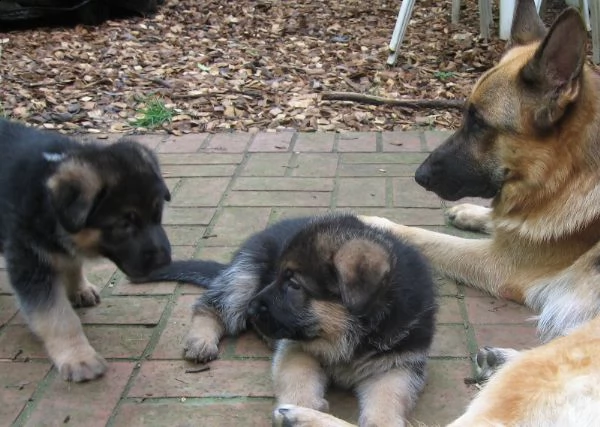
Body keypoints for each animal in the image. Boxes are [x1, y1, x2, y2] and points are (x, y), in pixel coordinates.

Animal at [0, 118, 173, 382]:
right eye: (125, 224)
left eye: (158, 213)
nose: (165, 263)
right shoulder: (30, 261)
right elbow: (58, 317)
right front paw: (78, 358)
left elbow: (73, 262)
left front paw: (79, 288)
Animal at [144, 214, 438, 427]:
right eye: (279, 277)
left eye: (293, 284)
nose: (252, 309)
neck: (352, 336)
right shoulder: (295, 345)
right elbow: (297, 378)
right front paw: (300, 412)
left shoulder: (398, 365)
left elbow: (389, 397)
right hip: (245, 277)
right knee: (211, 305)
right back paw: (201, 339)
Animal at [274, 1, 600, 426]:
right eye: (464, 115)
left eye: (479, 124)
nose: (419, 175)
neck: (570, 170)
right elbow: (495, 221)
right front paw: (471, 213)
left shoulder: (501, 264)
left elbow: (425, 237)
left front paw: (374, 224)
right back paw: (499, 358)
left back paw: (300, 415)